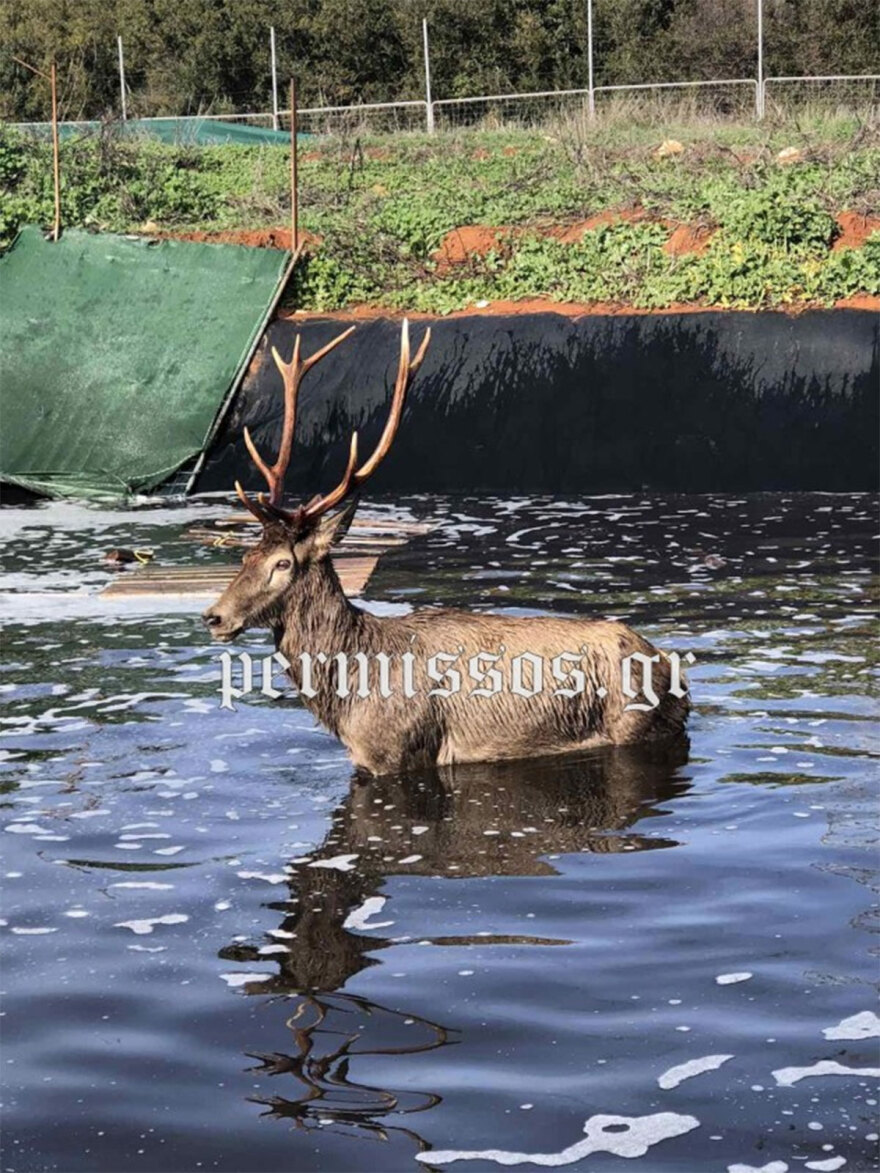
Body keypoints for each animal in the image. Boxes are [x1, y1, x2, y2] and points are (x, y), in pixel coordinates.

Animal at [202, 323, 694, 778]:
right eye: (246, 556)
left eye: (282, 563)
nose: (214, 616)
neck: (350, 698)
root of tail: (676, 673)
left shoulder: (397, 753)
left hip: (636, 725)